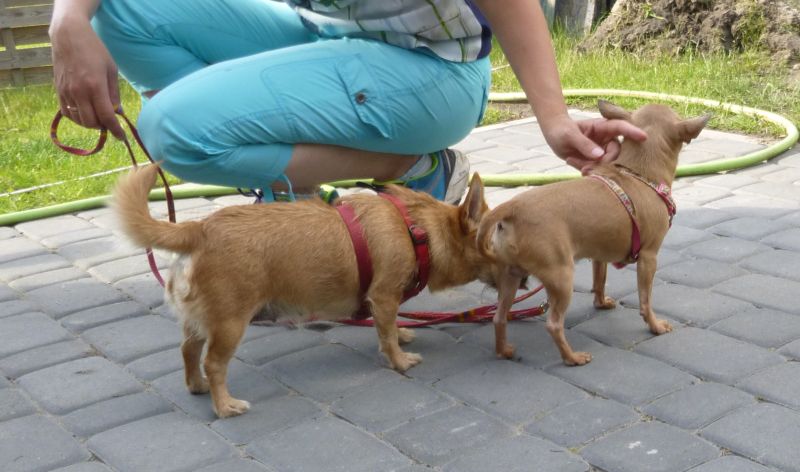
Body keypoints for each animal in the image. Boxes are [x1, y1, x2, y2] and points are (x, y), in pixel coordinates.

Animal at [112, 164, 493, 417]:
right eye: (497, 238)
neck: (416, 228)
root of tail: (198, 228)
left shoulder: (384, 301)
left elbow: (388, 324)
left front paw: (402, 335)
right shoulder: (384, 296)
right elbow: (385, 332)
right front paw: (399, 359)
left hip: (198, 323)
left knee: (189, 351)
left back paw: (197, 386)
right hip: (231, 324)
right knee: (213, 363)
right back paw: (225, 405)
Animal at [477, 100, 709, 365]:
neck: (636, 172)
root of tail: (513, 208)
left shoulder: (599, 256)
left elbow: (600, 281)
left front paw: (601, 303)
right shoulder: (649, 258)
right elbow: (645, 300)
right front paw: (655, 326)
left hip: (510, 277)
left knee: (499, 317)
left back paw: (504, 350)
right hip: (561, 278)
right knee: (553, 325)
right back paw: (572, 358)